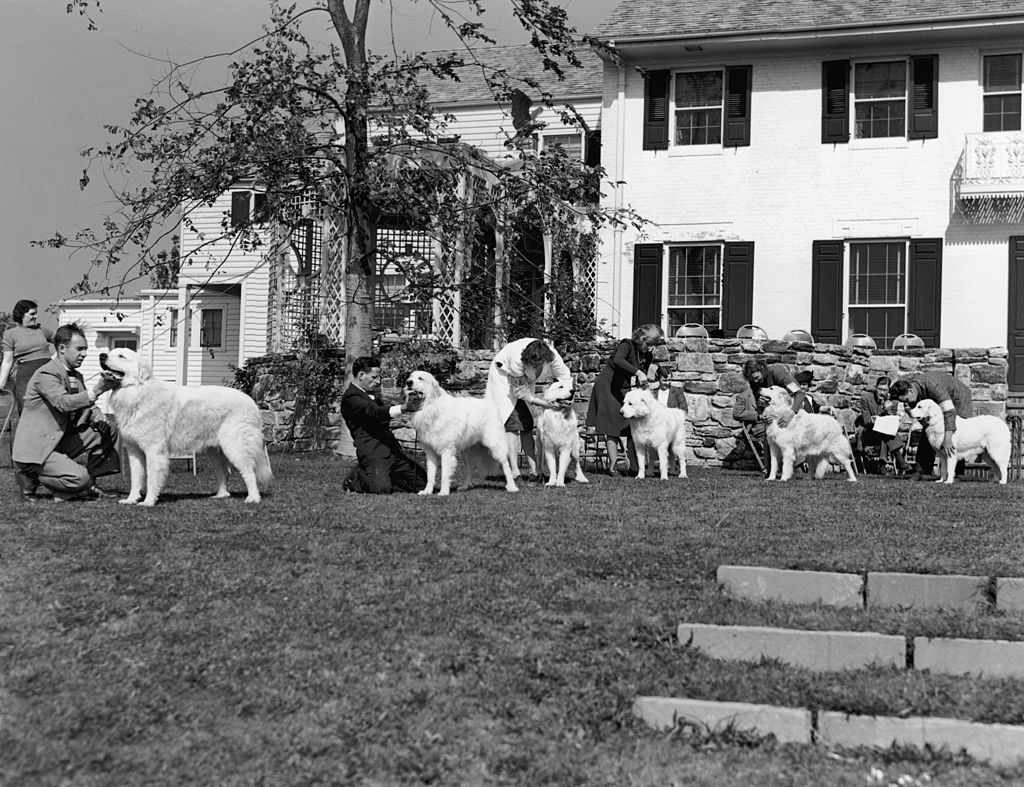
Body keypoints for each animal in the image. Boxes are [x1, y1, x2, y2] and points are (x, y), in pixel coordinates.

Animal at [96, 347, 270, 507]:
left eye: (121, 356)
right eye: (110, 352)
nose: (101, 355)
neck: (137, 390)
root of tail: (251, 401)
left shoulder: (154, 450)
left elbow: (152, 478)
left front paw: (149, 501)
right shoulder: (134, 451)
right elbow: (136, 479)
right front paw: (131, 499)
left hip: (235, 446)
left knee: (249, 472)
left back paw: (253, 498)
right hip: (214, 451)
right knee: (224, 473)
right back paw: (220, 495)